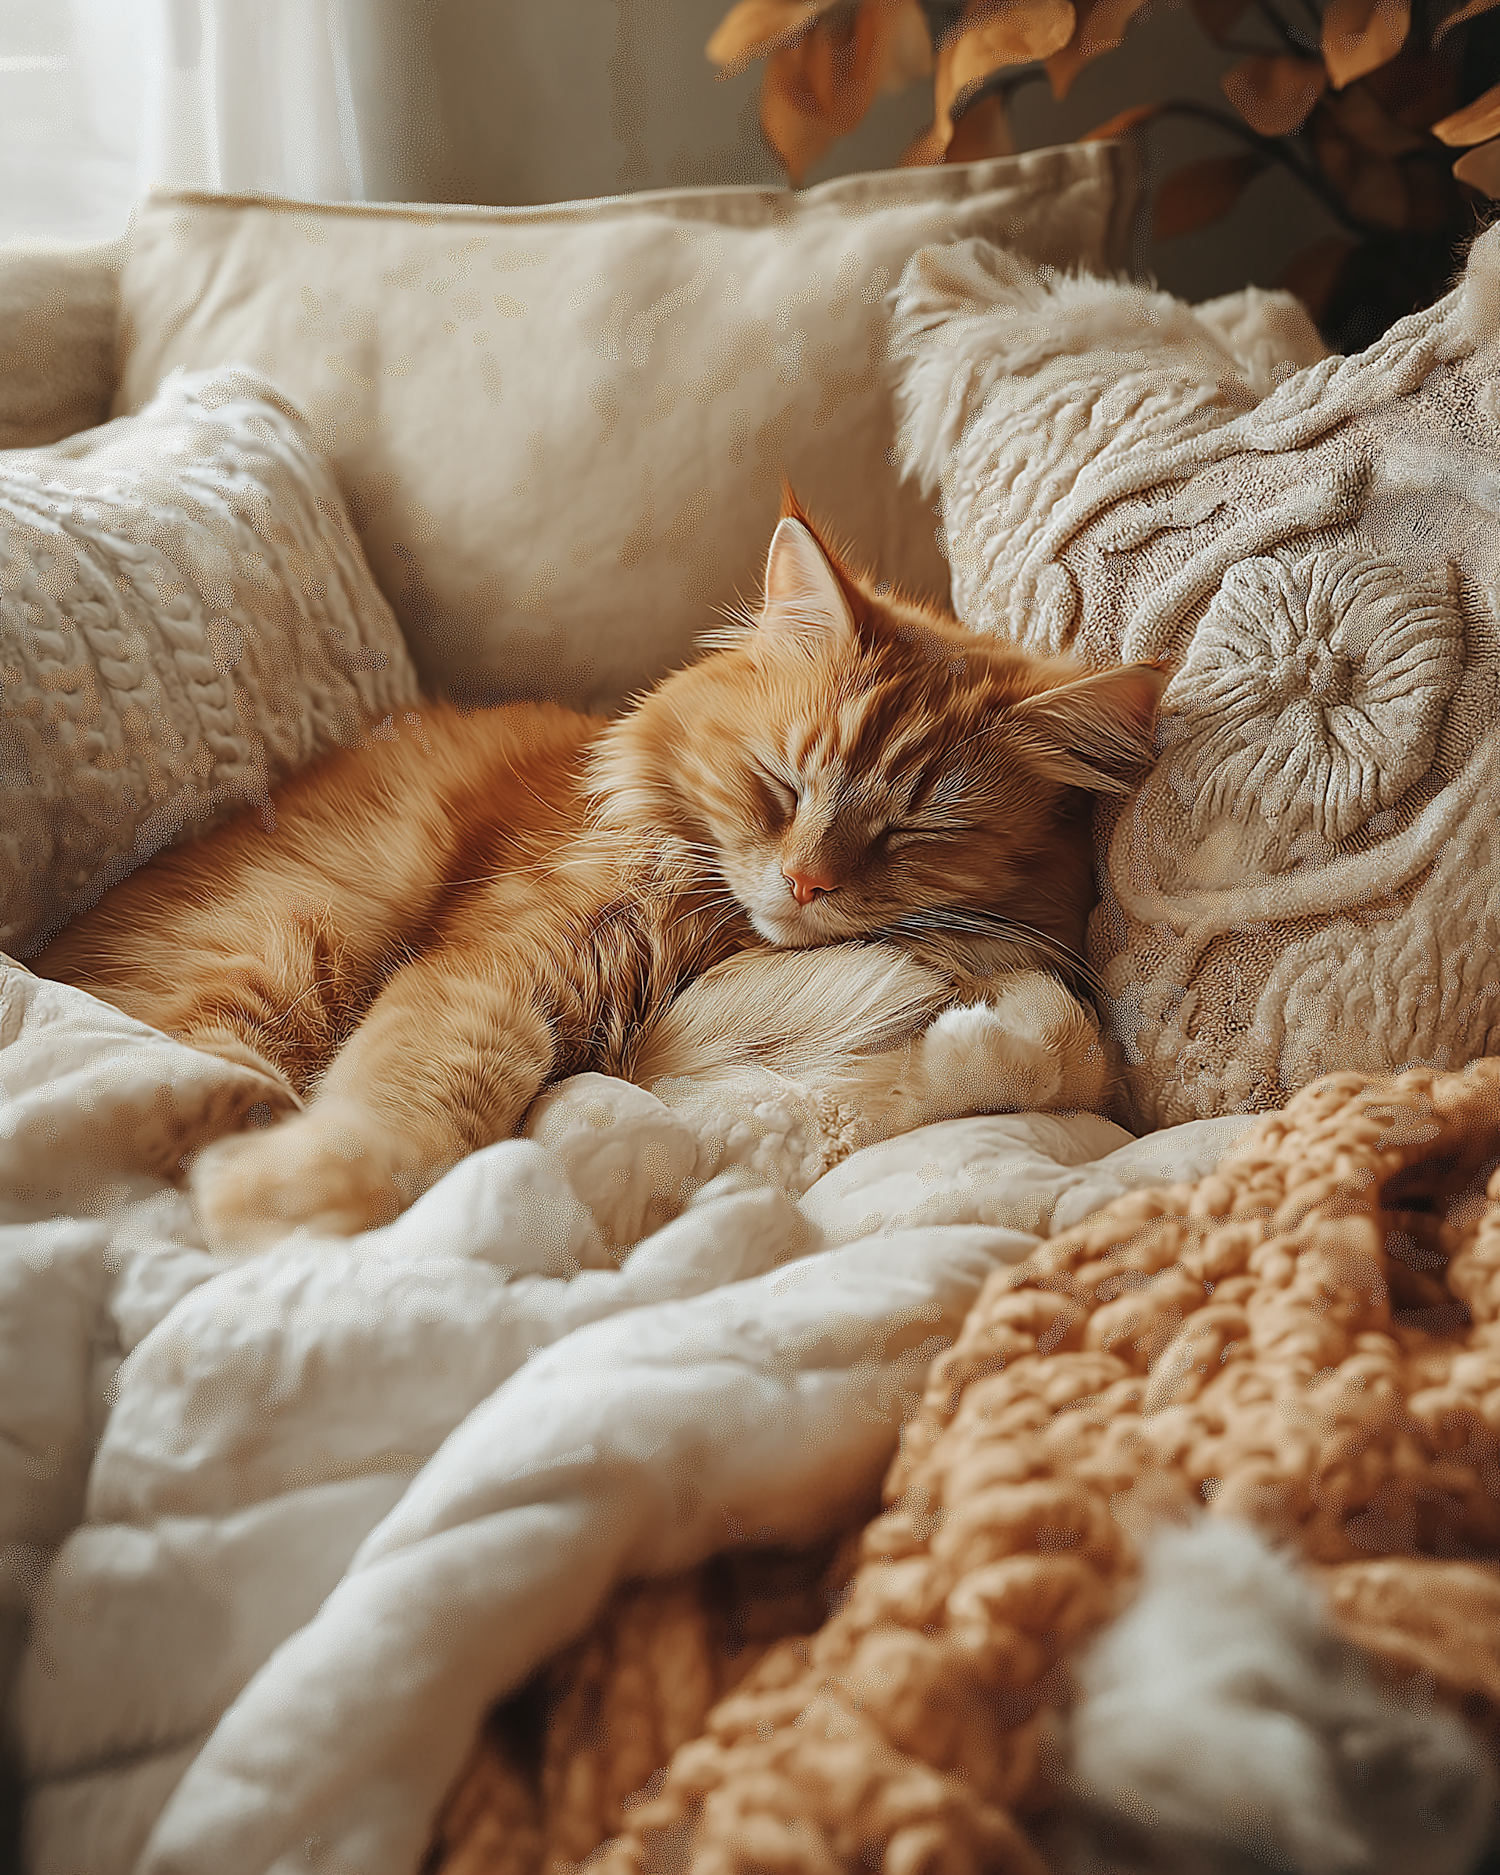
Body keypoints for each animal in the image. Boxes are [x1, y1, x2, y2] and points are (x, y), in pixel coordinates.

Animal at [29, 506, 1162, 1252]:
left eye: (915, 828)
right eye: (781, 784)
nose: (806, 883)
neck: (720, 940)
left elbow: (1055, 1048)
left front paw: (967, 1028)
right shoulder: (514, 971)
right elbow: (425, 1100)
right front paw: (301, 1199)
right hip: (277, 952)